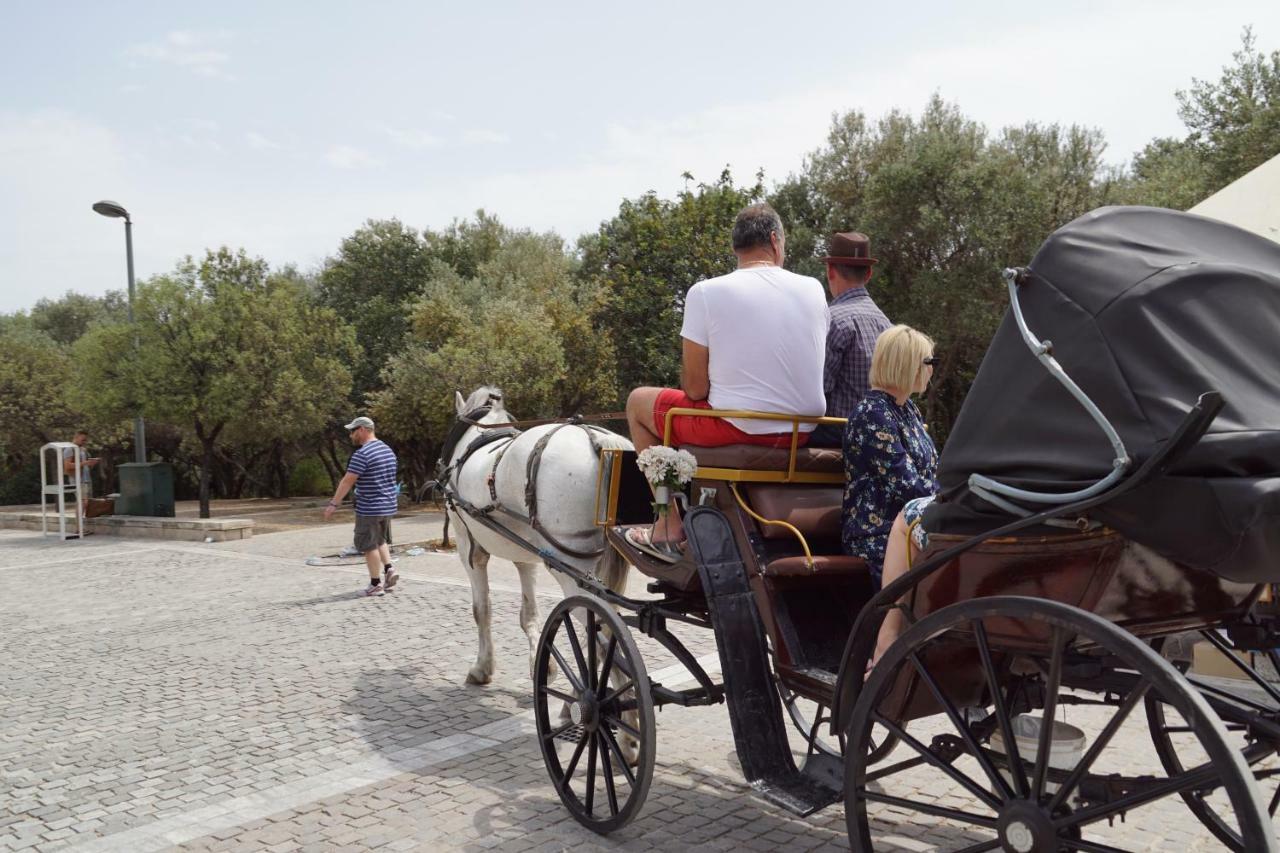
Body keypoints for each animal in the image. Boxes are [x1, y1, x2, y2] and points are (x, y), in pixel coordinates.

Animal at [445, 384, 634, 686]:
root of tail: (599, 442)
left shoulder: (469, 549)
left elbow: (481, 610)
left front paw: (482, 667)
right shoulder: (526, 556)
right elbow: (529, 613)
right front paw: (542, 666)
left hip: (571, 568)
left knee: (603, 628)